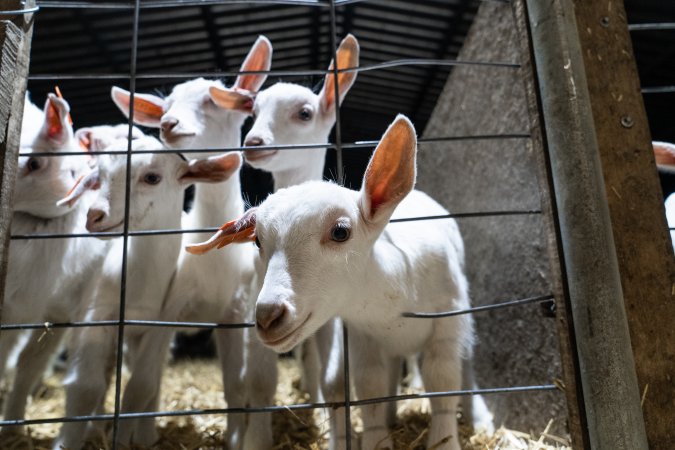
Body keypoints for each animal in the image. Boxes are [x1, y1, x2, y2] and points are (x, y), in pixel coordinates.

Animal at [52, 139, 243, 448]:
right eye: (100, 177)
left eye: (152, 177)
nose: (94, 215)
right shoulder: (95, 312)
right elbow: (85, 386)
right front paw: (66, 442)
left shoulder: (158, 321)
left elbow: (142, 385)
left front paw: (127, 438)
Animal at [187, 117, 476, 450]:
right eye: (257, 240)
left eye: (340, 232)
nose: (268, 316)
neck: (397, 294)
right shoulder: (364, 332)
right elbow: (370, 385)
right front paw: (378, 439)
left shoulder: (448, 320)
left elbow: (443, 380)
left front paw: (444, 439)